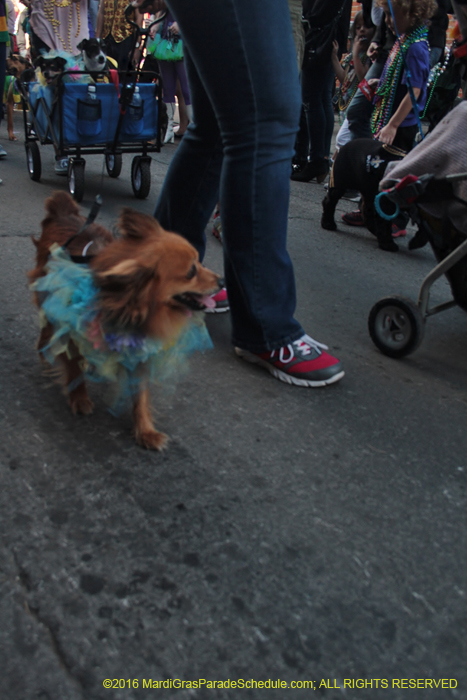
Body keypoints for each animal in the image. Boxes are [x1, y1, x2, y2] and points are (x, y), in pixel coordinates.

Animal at [30, 191, 222, 452]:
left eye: (200, 262)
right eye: (191, 271)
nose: (222, 281)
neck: (128, 307)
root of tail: (63, 212)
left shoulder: (140, 353)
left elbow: (140, 395)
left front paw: (145, 431)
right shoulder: (71, 332)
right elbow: (73, 367)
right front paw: (79, 398)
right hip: (48, 297)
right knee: (46, 329)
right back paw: (44, 352)